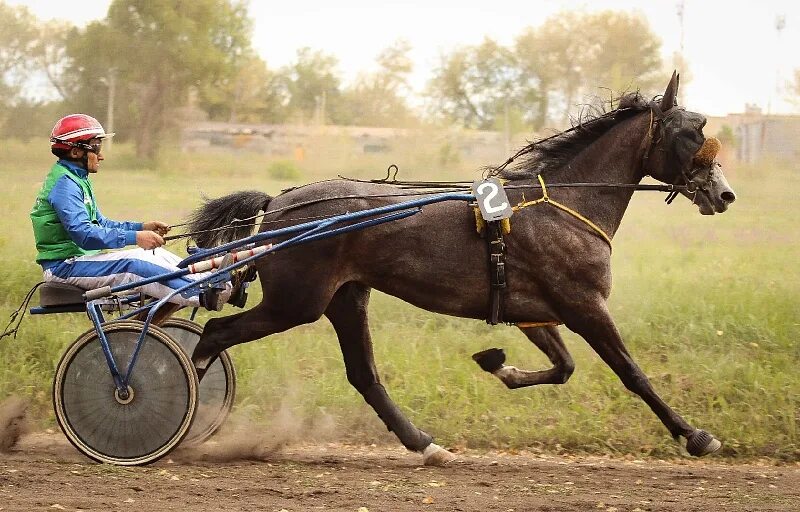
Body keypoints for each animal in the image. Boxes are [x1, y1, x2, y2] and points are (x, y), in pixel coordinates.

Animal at [184, 73, 736, 464]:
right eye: (691, 134)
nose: (724, 194)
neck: (562, 205)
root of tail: (278, 204)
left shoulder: (535, 310)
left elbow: (563, 368)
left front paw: (497, 363)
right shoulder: (584, 304)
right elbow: (632, 373)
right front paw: (695, 435)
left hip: (346, 298)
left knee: (364, 375)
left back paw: (426, 445)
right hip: (297, 302)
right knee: (214, 334)